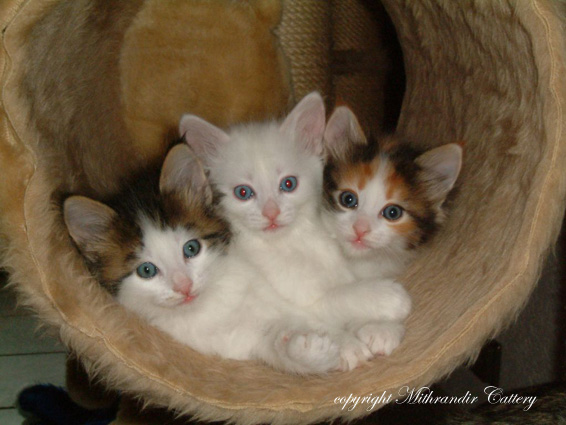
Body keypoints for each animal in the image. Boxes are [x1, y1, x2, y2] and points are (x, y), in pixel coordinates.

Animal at [179, 92, 412, 368]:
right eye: (243, 192)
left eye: (288, 184)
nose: (271, 213)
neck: (289, 243)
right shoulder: (293, 300)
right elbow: (332, 301)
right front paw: (384, 304)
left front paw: (382, 329)